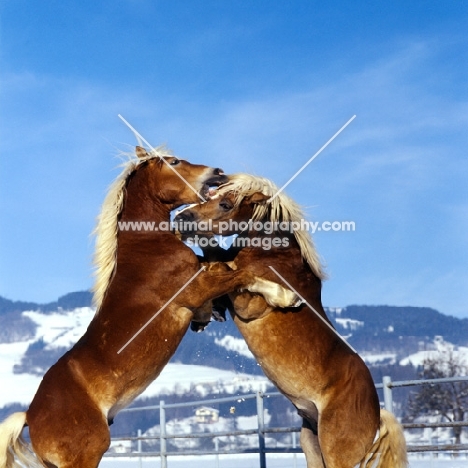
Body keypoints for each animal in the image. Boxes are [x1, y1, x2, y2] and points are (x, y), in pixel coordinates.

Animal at [0, 151, 298, 468]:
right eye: (175, 162)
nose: (217, 171)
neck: (148, 248)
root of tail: (30, 417)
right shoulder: (196, 286)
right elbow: (240, 274)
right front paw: (287, 296)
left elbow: (224, 272)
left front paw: (207, 317)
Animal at [174, 175, 408, 468]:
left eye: (226, 204)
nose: (181, 218)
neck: (272, 253)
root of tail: (378, 414)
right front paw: (204, 316)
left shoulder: (248, 305)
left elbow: (226, 267)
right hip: (311, 442)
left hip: (335, 452)